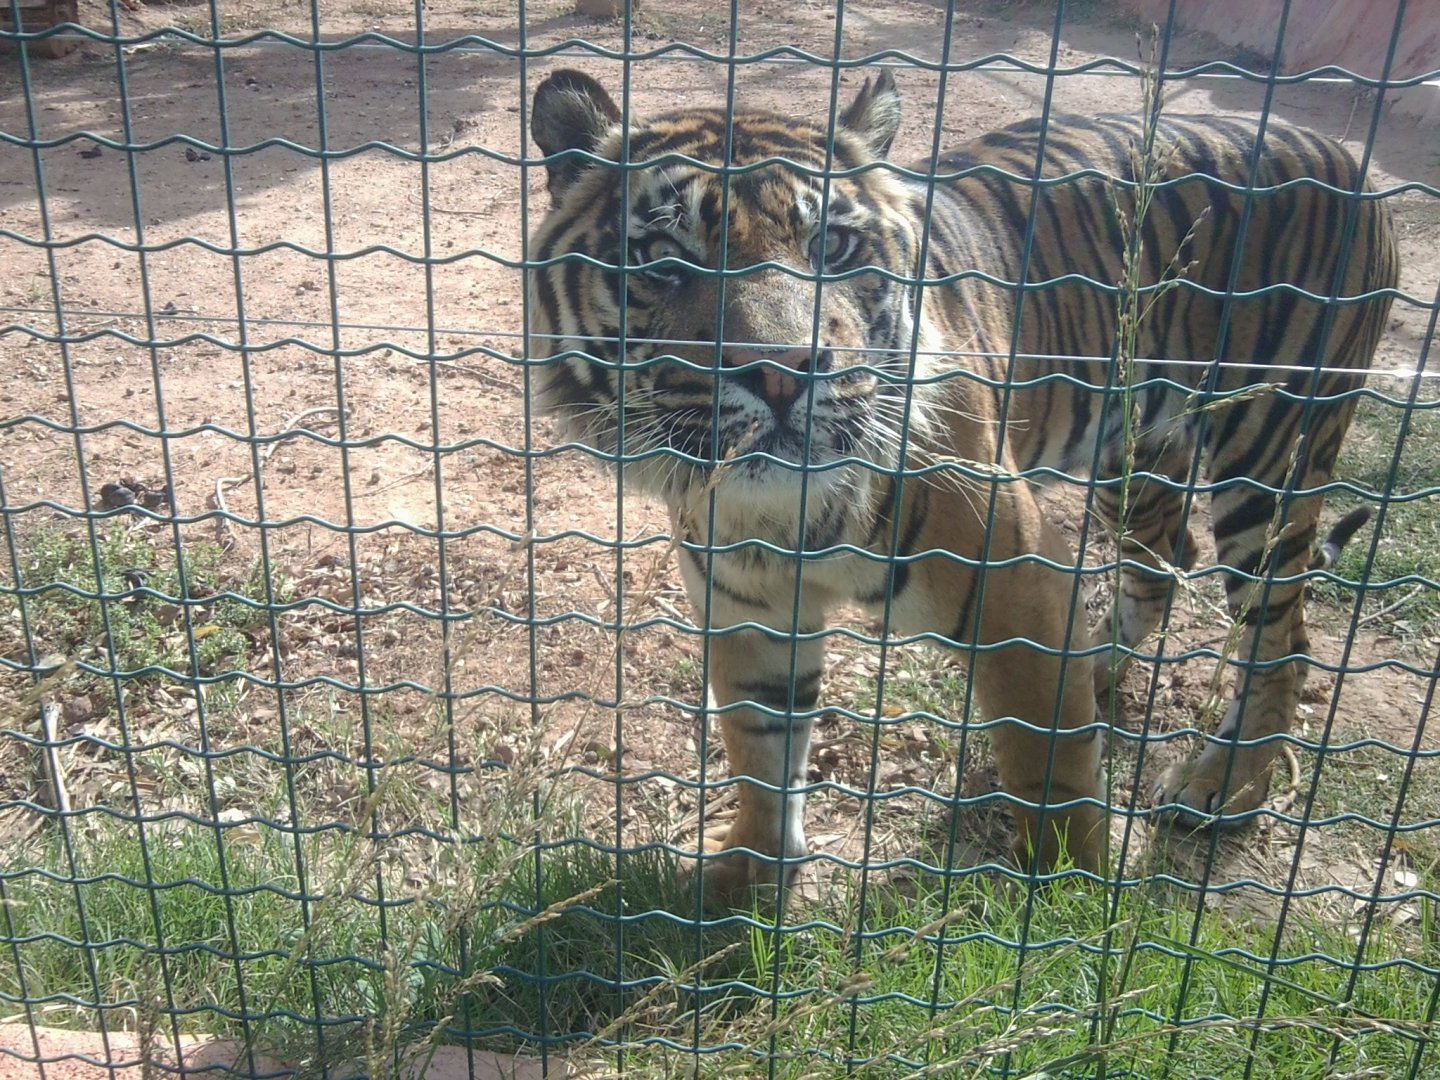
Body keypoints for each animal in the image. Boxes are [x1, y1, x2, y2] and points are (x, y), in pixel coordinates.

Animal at [525, 67, 1399, 902]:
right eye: (664, 263)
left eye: (834, 246)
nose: (781, 373)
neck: (785, 512)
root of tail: (1340, 151)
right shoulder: (749, 612)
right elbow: (762, 755)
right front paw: (748, 879)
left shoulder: (1017, 587)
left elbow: (1049, 770)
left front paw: (1069, 900)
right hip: (1133, 448)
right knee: (1164, 565)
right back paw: (1100, 668)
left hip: (1271, 448)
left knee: (1281, 635)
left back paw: (1224, 786)